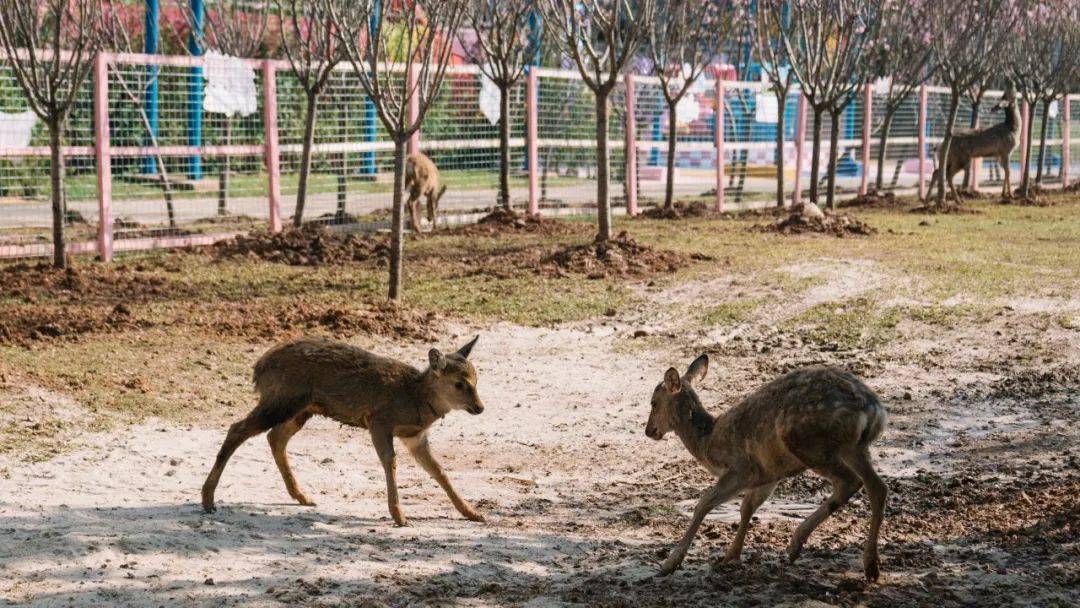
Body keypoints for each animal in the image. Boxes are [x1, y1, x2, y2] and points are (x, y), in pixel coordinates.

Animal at [201, 334, 486, 524]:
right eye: (459, 383)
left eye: (476, 378)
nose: (480, 407)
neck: (414, 399)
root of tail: (258, 367)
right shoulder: (378, 421)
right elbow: (390, 462)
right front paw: (399, 516)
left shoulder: (415, 436)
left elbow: (438, 470)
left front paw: (473, 513)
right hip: (282, 398)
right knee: (238, 428)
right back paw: (208, 500)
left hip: (303, 407)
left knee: (276, 437)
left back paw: (302, 496)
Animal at [648, 358, 885, 583]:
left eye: (653, 402)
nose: (649, 431)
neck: (708, 443)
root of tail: (872, 410)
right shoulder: (768, 475)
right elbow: (746, 508)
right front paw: (730, 556)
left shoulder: (741, 469)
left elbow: (703, 504)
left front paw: (669, 564)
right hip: (854, 448)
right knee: (877, 486)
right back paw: (869, 565)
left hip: (810, 443)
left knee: (850, 482)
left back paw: (798, 546)